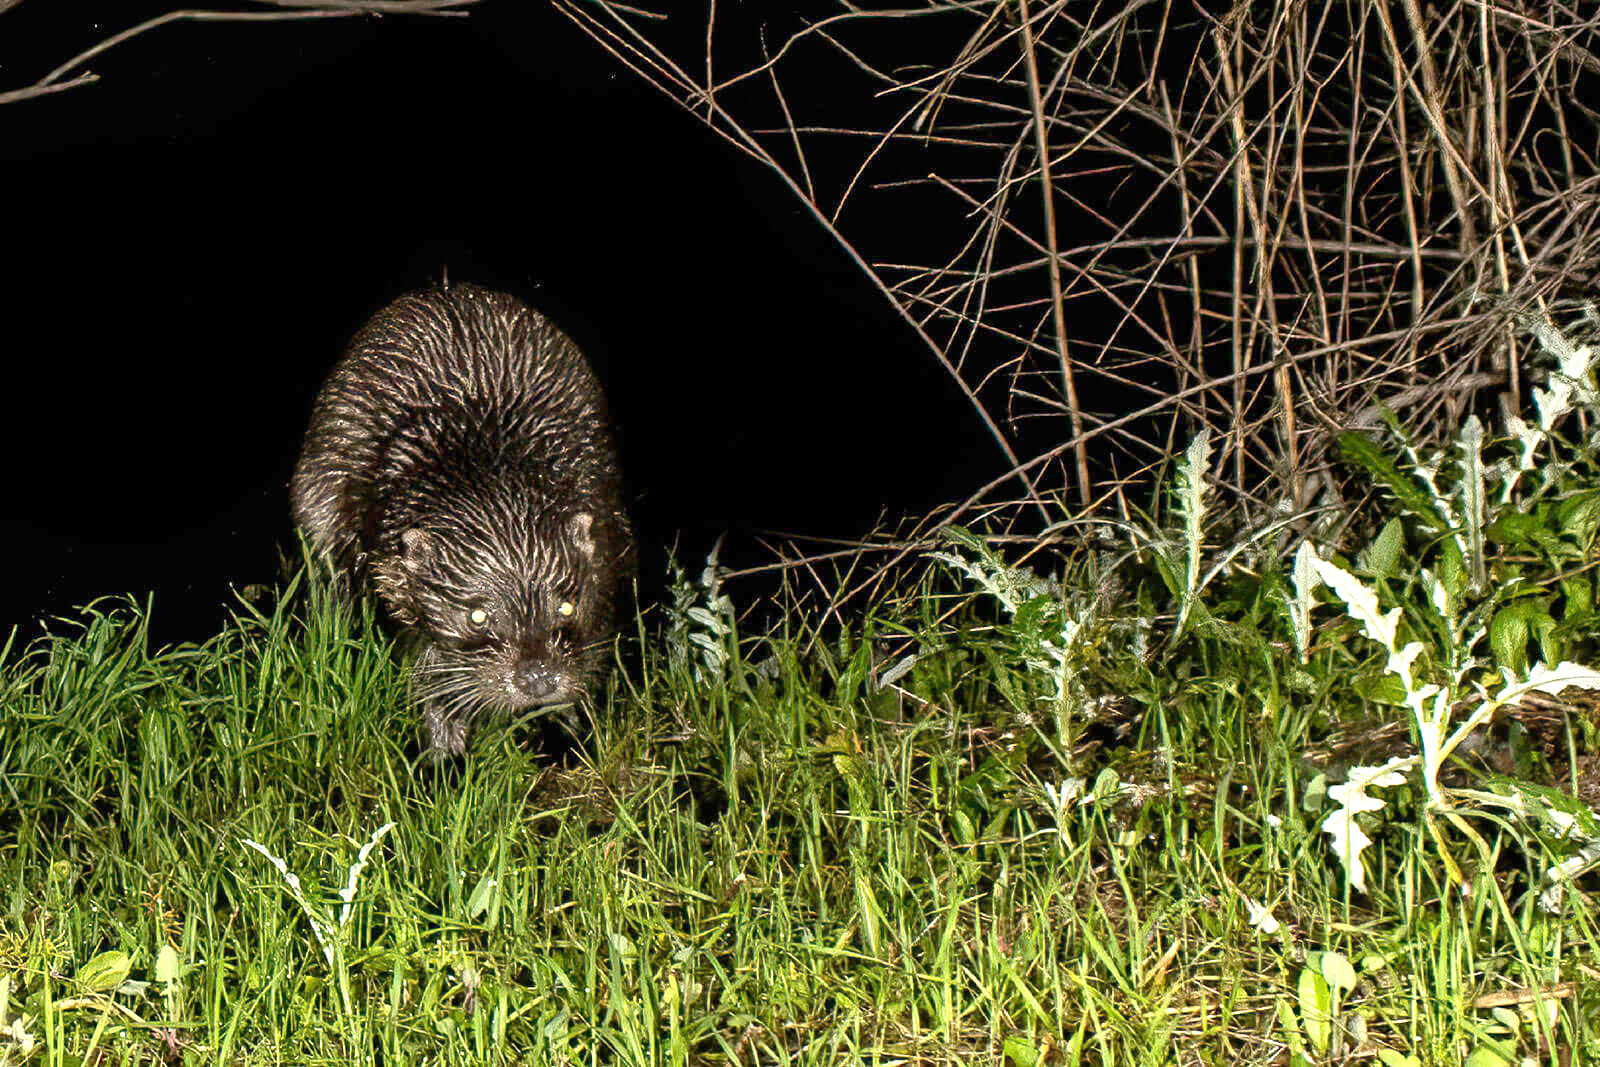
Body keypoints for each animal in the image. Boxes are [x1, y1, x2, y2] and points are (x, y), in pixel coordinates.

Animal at [294, 281, 630, 751]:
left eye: (567, 605)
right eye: (477, 616)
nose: (539, 678)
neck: (488, 447)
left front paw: (572, 728)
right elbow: (432, 671)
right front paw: (443, 748)